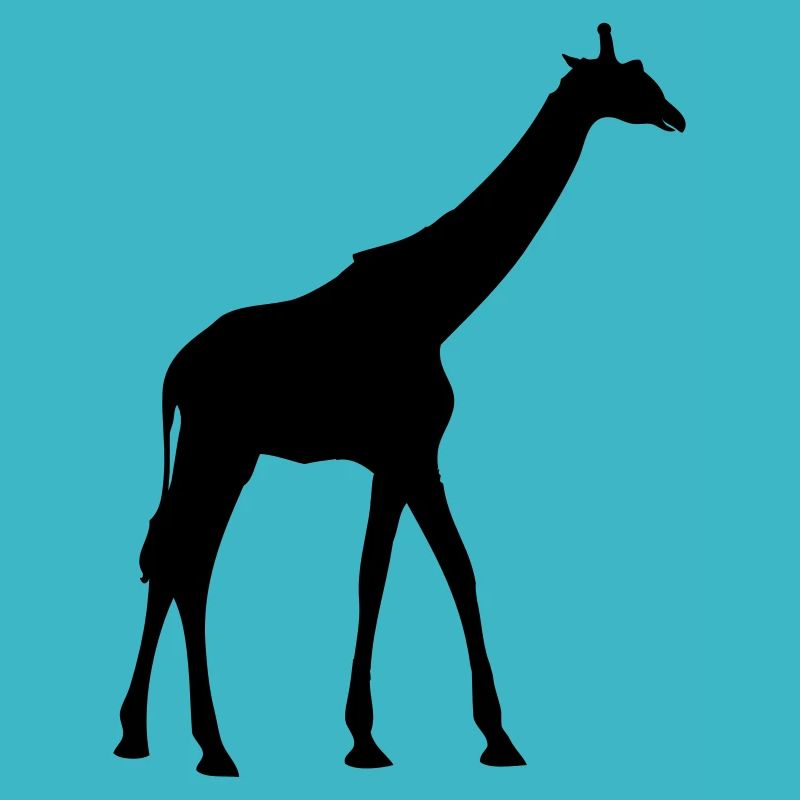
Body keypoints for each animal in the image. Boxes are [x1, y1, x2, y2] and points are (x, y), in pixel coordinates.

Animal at [114, 23, 685, 777]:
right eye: (631, 80)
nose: (677, 116)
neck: (435, 306)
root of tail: (173, 371)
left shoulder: (392, 460)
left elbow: (375, 577)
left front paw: (365, 737)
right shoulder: (415, 452)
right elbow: (458, 571)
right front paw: (494, 737)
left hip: (218, 449)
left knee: (173, 555)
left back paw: (148, 736)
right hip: (223, 446)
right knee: (186, 560)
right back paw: (208, 746)